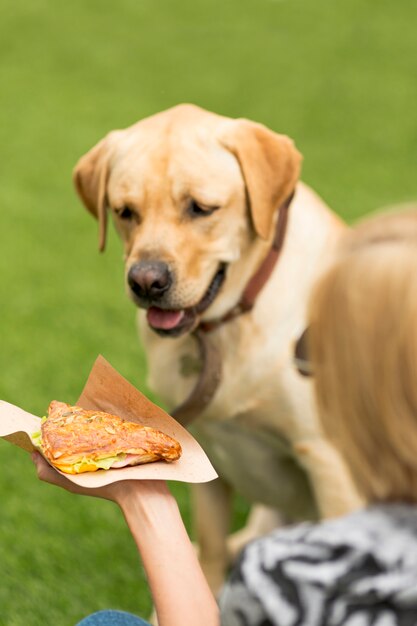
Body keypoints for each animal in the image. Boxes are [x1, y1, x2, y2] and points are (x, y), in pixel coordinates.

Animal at [73, 106, 360, 588]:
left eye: (201, 208)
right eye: (125, 212)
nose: (146, 281)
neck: (224, 328)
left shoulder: (330, 463)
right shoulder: (203, 449)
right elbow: (208, 554)